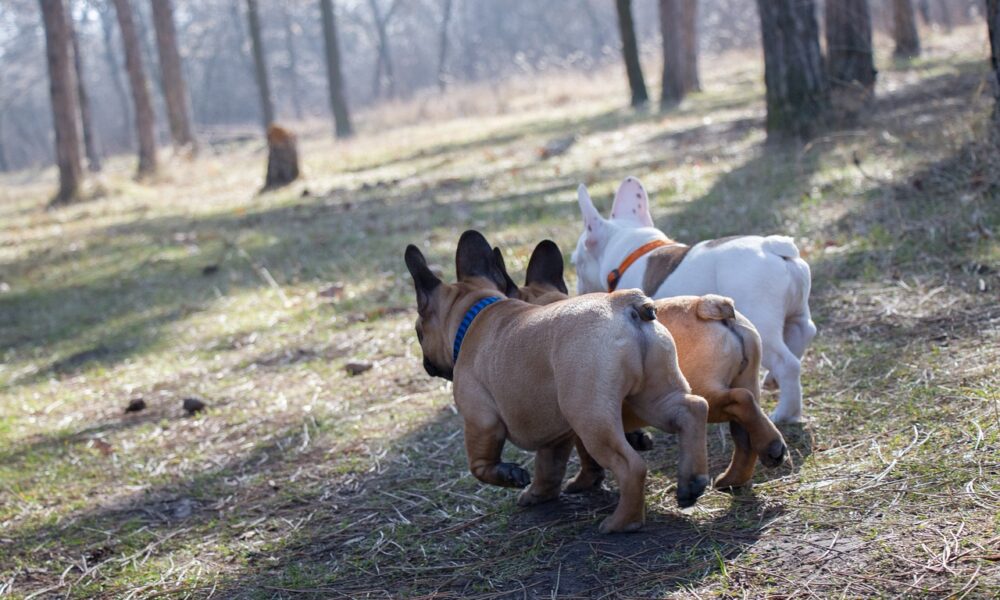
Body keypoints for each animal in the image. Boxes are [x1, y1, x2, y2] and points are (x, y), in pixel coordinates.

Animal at [406, 231, 712, 536]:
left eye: (419, 333)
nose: (426, 363)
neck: (475, 315)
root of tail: (625, 303)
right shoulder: (554, 436)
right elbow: (548, 467)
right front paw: (540, 493)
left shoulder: (480, 421)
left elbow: (480, 465)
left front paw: (510, 475)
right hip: (653, 395)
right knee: (692, 409)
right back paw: (691, 482)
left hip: (591, 418)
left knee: (631, 465)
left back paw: (623, 522)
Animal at [500, 239, 788, 488]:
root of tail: (707, 305)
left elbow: (586, 456)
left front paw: (583, 482)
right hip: (747, 379)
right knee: (744, 434)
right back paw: (740, 473)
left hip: (704, 391)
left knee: (738, 402)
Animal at [568, 177, 816, 422]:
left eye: (576, 263)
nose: (577, 288)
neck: (630, 252)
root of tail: (773, 246)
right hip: (797, 312)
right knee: (804, 333)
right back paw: (774, 380)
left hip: (761, 320)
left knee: (787, 363)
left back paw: (785, 413)